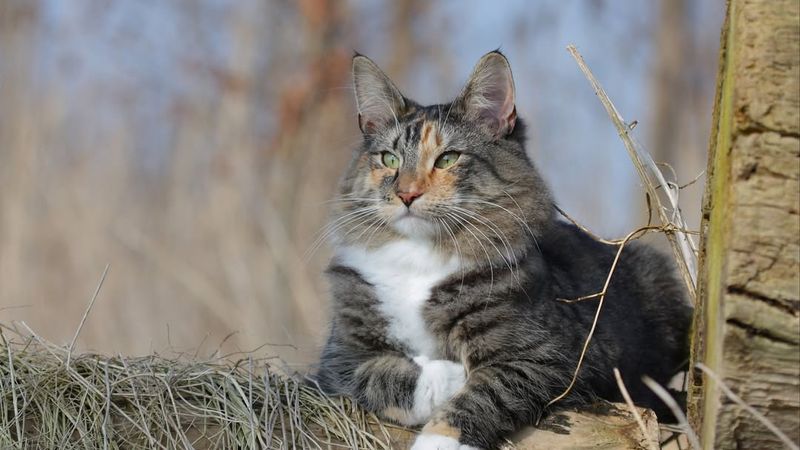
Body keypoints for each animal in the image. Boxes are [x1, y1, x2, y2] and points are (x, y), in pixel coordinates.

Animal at [316, 50, 692, 450]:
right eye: (389, 159)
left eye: (448, 159)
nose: (406, 194)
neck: (419, 258)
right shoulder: (338, 359)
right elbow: (383, 374)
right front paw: (449, 375)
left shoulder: (548, 357)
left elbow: (481, 395)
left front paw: (439, 435)